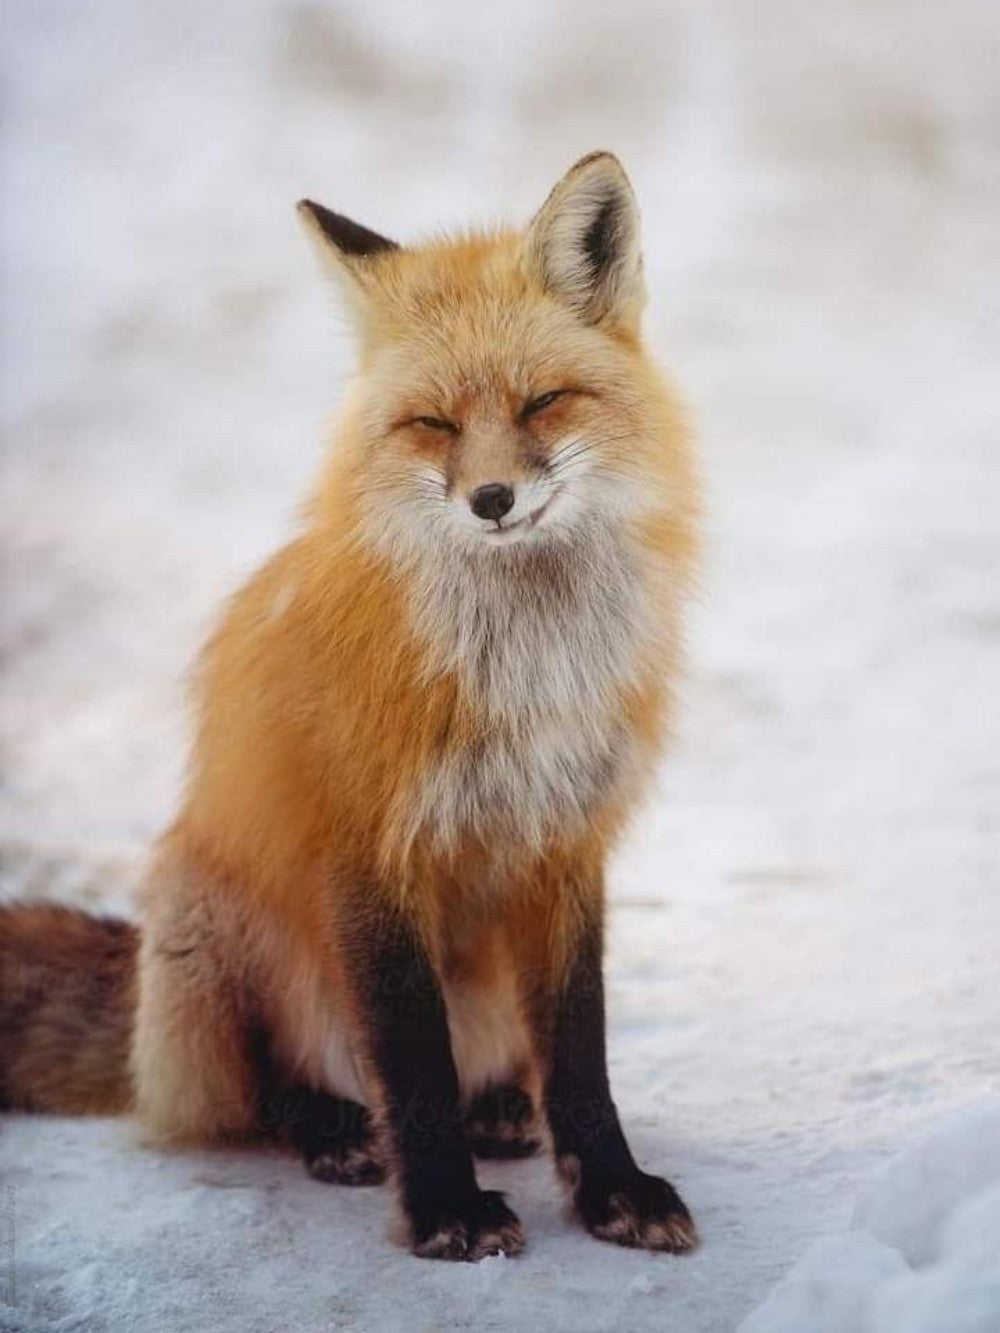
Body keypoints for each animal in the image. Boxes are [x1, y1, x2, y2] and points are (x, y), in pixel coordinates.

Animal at [0, 151, 700, 1261]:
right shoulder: (369, 843)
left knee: (501, 1064)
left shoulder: (565, 840)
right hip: (205, 927)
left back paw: (502, 1106)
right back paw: (331, 1128)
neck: (521, 668)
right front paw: (446, 1210)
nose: (490, 500)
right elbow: (410, 1060)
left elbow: (581, 1052)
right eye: (434, 424)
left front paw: (611, 1191)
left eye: (544, 402)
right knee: (262, 1093)